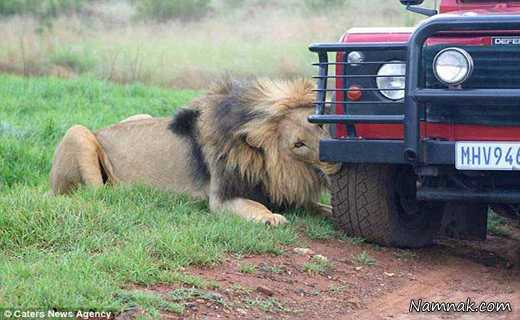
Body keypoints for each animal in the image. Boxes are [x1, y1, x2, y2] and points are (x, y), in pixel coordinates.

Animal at [49, 79, 342, 225]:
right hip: (78, 133)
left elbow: (322, 207)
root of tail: (102, 130)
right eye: (298, 144)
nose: (334, 158)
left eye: (321, 126)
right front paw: (271, 218)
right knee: (96, 194)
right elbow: (254, 206)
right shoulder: (221, 199)